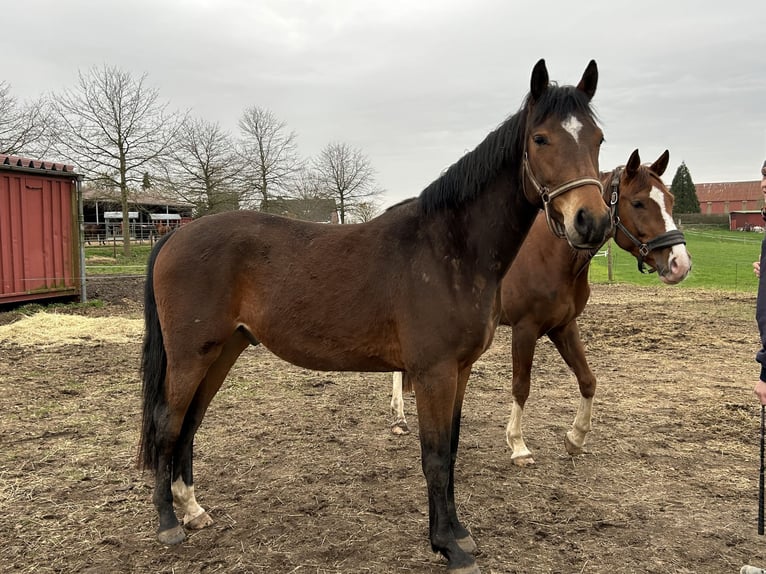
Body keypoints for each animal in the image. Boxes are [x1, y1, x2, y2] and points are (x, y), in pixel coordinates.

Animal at [141, 60, 616, 572]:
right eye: (541, 138)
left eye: (598, 139)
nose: (590, 221)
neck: (449, 249)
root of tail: (175, 235)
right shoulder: (433, 372)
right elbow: (435, 457)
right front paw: (447, 546)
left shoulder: (460, 370)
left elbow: (451, 448)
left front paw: (459, 533)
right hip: (192, 355)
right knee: (168, 422)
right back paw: (167, 524)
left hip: (224, 349)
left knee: (190, 423)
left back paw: (192, 510)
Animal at [392, 151, 692, 470]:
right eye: (637, 203)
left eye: (671, 199)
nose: (680, 263)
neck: (552, 256)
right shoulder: (525, 329)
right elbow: (521, 386)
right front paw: (518, 446)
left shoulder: (563, 326)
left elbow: (588, 380)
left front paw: (575, 438)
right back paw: (398, 419)